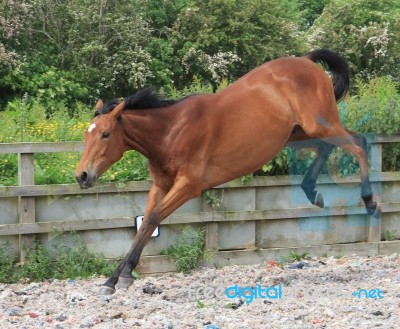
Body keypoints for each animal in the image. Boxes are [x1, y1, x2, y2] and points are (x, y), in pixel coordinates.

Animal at [76, 49, 380, 294]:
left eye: (105, 134)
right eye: (86, 134)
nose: (82, 176)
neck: (171, 131)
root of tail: (306, 61)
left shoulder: (188, 186)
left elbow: (152, 219)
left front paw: (119, 278)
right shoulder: (161, 185)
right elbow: (145, 225)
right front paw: (118, 277)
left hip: (320, 124)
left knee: (359, 145)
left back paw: (369, 202)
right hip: (301, 132)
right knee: (335, 145)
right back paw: (313, 192)